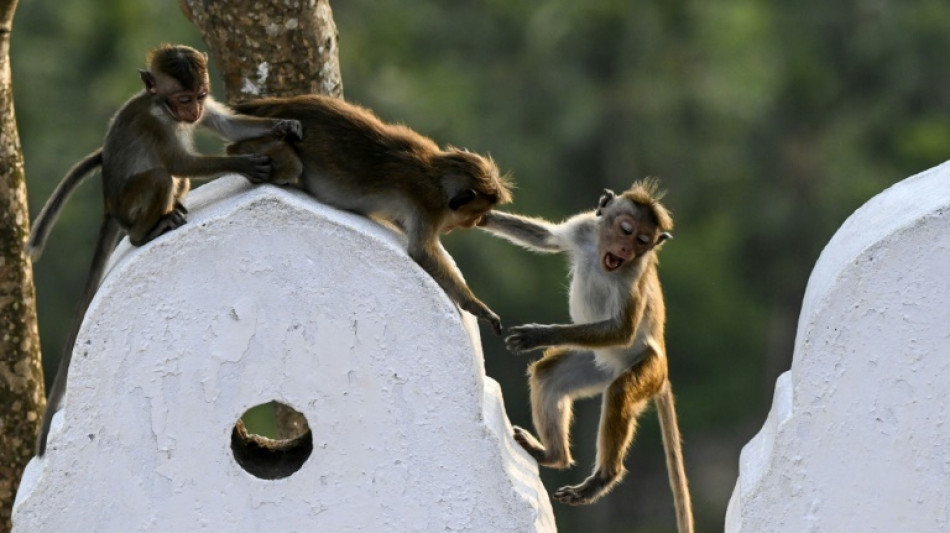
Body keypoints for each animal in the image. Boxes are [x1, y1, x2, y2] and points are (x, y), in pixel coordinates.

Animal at [29, 44, 302, 456]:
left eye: (200, 96)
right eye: (182, 99)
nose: (193, 112)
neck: (163, 107)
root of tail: (110, 206)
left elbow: (227, 126)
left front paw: (283, 124)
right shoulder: (157, 125)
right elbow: (178, 161)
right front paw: (244, 163)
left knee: (177, 179)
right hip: (131, 206)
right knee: (161, 175)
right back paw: (149, 230)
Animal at [226, 94, 512, 334]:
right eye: (475, 213)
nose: (478, 221)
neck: (436, 175)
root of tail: (285, 103)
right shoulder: (427, 205)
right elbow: (422, 252)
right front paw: (477, 307)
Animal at [478, 179, 693, 532]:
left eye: (642, 241)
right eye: (626, 229)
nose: (625, 251)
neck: (602, 255)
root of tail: (663, 372)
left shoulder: (634, 273)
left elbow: (623, 330)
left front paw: (538, 335)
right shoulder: (583, 228)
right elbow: (547, 238)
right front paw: (479, 215)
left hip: (646, 368)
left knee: (620, 392)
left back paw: (602, 479)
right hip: (596, 364)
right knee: (549, 374)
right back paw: (554, 455)